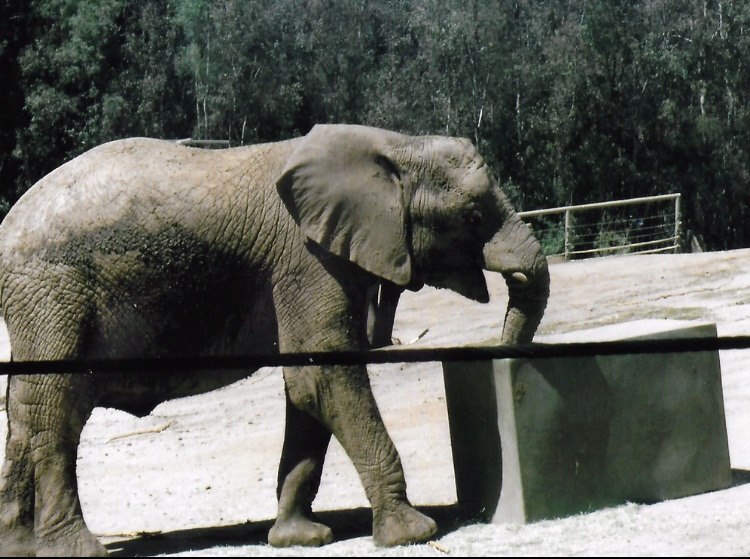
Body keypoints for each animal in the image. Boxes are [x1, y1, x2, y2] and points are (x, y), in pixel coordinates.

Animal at [0, 124, 550, 556]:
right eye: (472, 216)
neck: (392, 145)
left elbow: (308, 384)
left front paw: (300, 539)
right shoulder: (307, 258)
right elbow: (326, 375)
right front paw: (413, 532)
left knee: (25, 414)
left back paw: (19, 545)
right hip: (52, 293)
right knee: (56, 411)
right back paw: (74, 549)